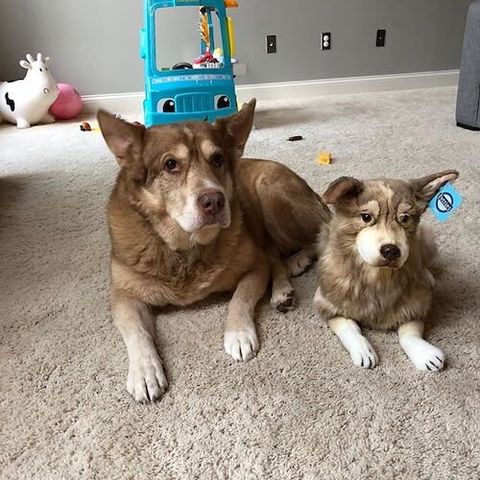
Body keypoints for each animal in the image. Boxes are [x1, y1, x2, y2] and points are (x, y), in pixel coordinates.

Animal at [97, 100, 330, 402]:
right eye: (170, 164)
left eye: (217, 159)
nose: (214, 201)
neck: (184, 248)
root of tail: (314, 193)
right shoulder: (123, 296)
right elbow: (137, 332)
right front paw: (144, 372)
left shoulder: (253, 267)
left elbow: (239, 299)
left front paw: (238, 333)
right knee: (276, 256)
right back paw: (283, 290)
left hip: (271, 195)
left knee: (316, 236)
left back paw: (295, 266)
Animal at [314, 171, 460, 374]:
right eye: (366, 217)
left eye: (404, 218)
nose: (391, 250)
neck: (377, 276)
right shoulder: (326, 303)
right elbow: (349, 327)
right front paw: (363, 350)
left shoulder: (416, 306)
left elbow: (409, 334)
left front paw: (424, 354)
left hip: (425, 240)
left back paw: (427, 275)